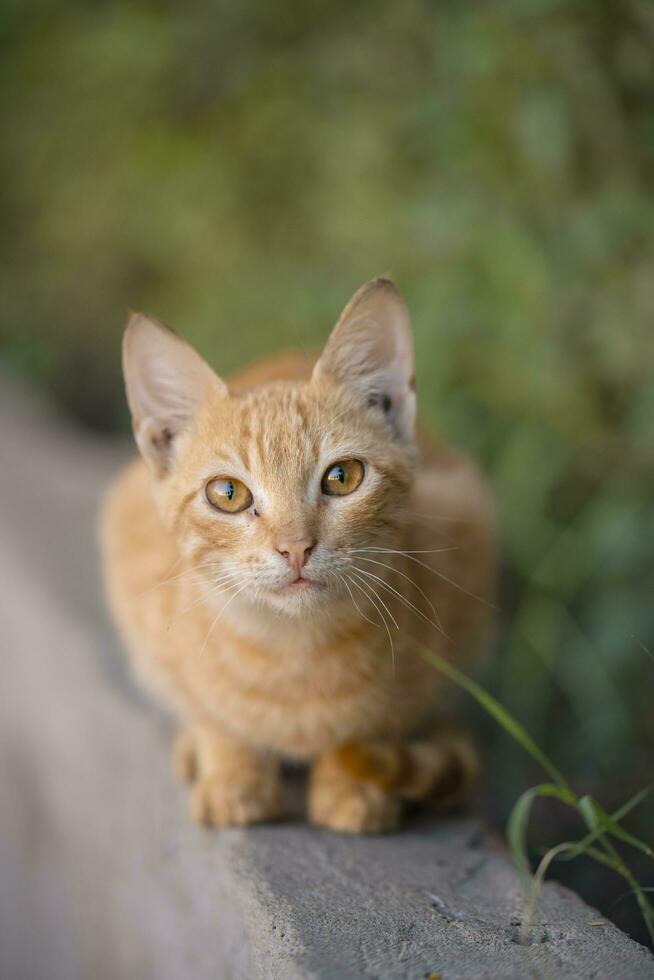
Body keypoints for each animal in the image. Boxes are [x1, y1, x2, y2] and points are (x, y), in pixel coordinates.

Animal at [100, 280, 494, 832]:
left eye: (343, 477)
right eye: (227, 493)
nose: (296, 546)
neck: (293, 655)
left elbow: (378, 719)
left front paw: (351, 784)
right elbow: (209, 710)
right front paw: (231, 774)